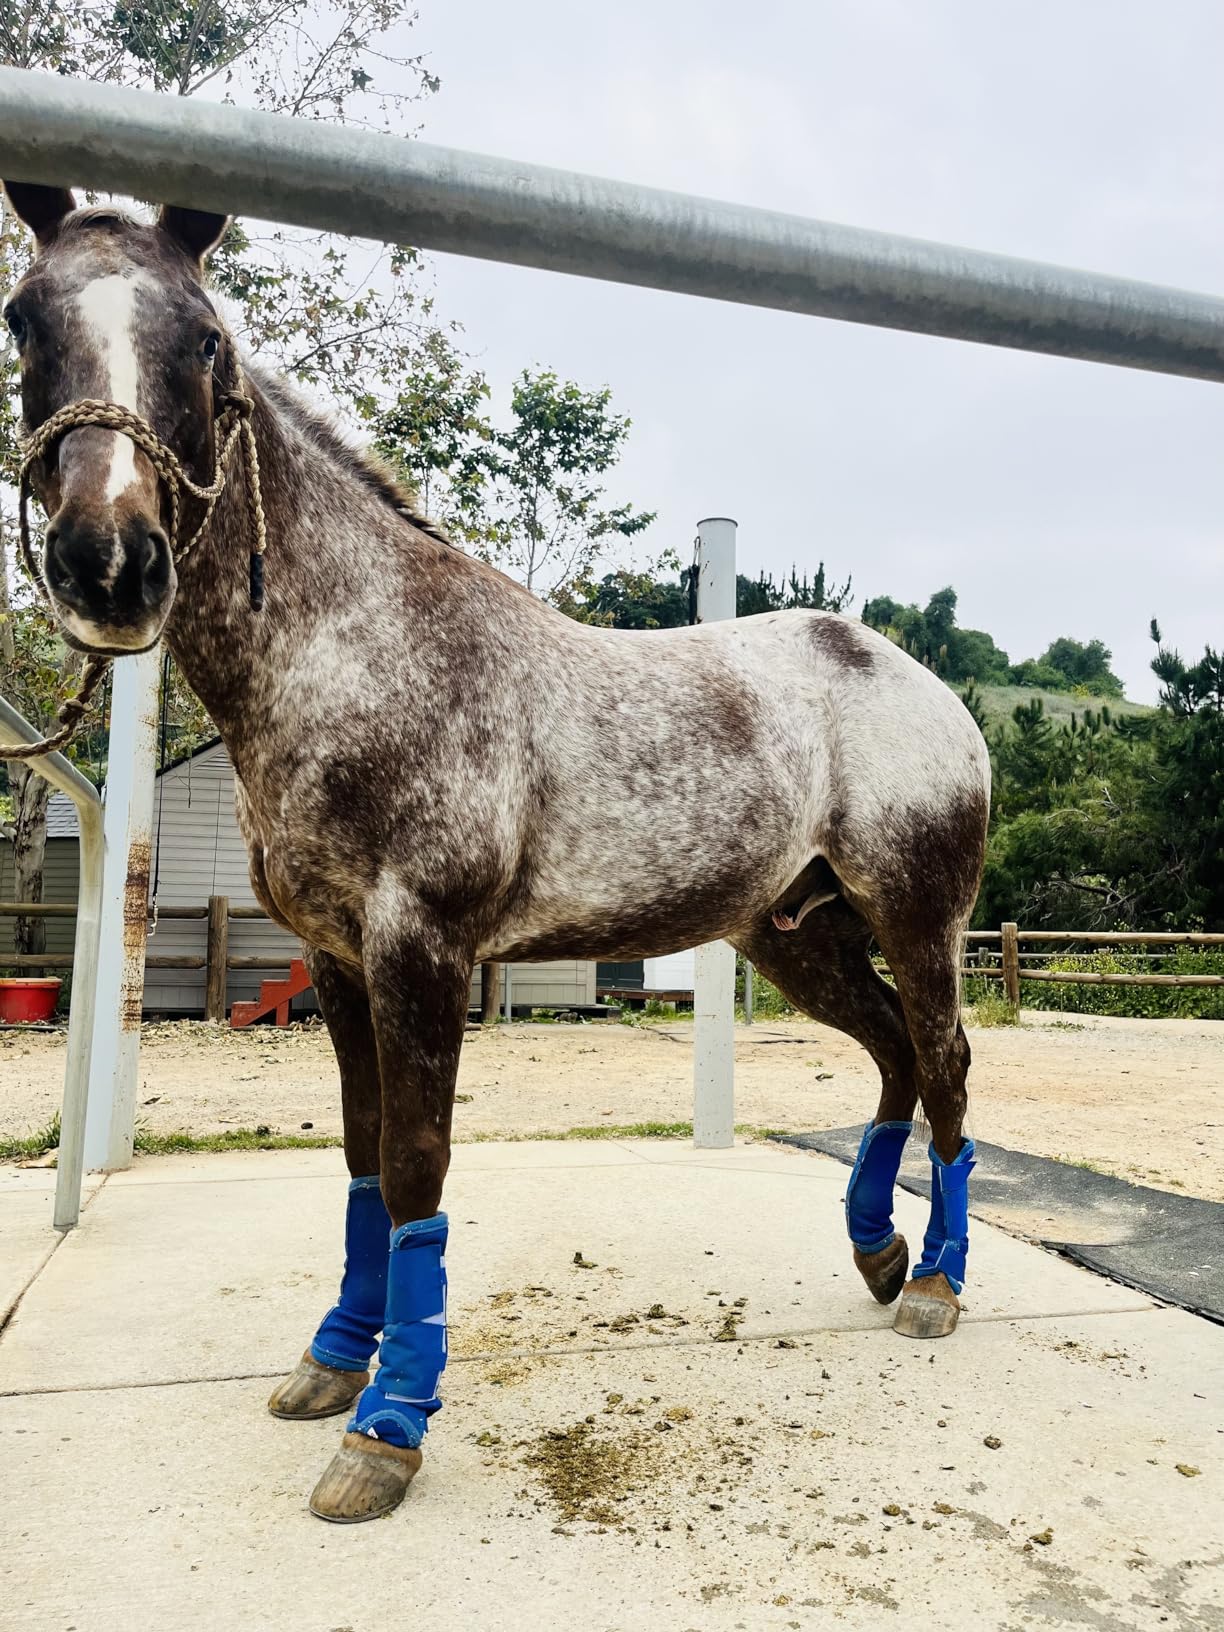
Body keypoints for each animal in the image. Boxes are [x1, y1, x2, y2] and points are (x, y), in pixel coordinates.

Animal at [2, 182, 990, 1524]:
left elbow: (418, 1171)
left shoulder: (422, 949)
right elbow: (365, 1167)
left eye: (205, 338)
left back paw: (935, 1286)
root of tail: (917, 682)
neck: (361, 651)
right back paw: (878, 1253)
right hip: (797, 934)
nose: (108, 563)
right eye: (22, 318)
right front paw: (333, 1363)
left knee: (943, 1062)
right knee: (892, 1055)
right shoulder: (340, 965)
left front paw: (386, 1432)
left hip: (917, 915)